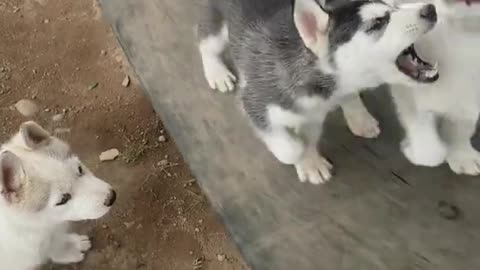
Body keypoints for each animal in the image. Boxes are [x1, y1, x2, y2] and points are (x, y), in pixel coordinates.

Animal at [195, 0, 438, 184]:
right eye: (378, 22)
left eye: (393, 6)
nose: (430, 9)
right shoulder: (256, 102)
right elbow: (290, 148)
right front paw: (299, 154)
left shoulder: (313, 113)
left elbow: (309, 137)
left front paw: (310, 162)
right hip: (217, 27)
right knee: (206, 41)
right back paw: (217, 72)